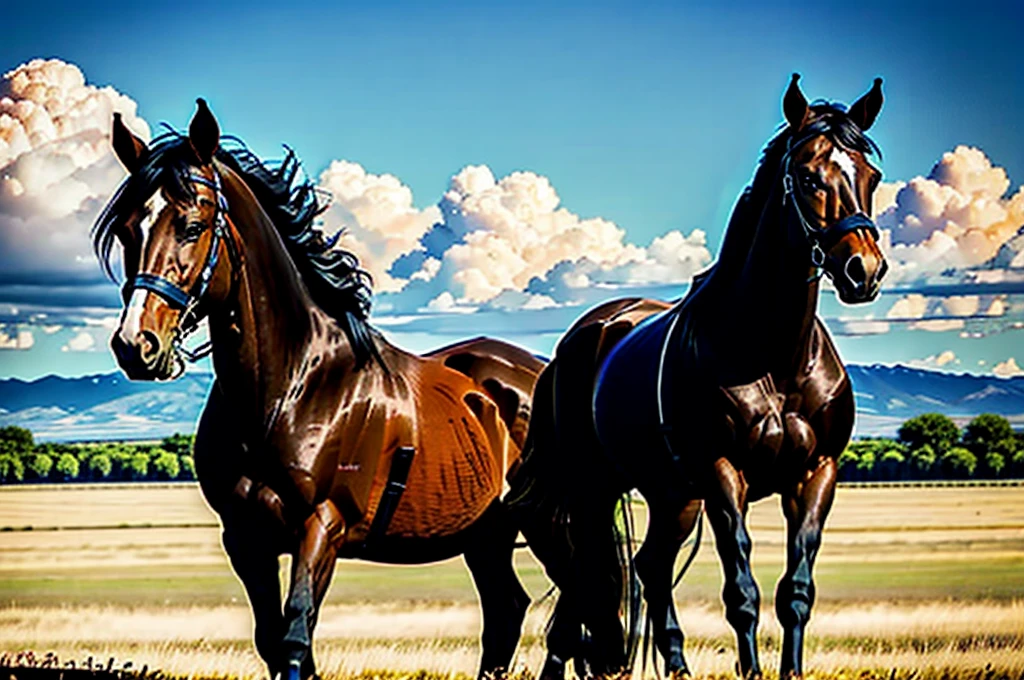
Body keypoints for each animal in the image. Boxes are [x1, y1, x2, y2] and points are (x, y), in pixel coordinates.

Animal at [92, 100, 548, 680]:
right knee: (506, 610)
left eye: (193, 224)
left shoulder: (321, 527)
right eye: (129, 230)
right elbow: (276, 643)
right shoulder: (245, 539)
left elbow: (294, 635)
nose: (136, 345)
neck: (290, 390)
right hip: (485, 536)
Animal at [512, 75, 888, 680]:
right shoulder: (721, 472)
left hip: (671, 494)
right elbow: (742, 591)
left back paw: (677, 665)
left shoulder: (815, 474)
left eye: (870, 176)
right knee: (585, 573)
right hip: (594, 486)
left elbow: (796, 589)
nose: (864, 271)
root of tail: (583, 337)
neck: (773, 355)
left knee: (648, 566)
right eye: (809, 176)